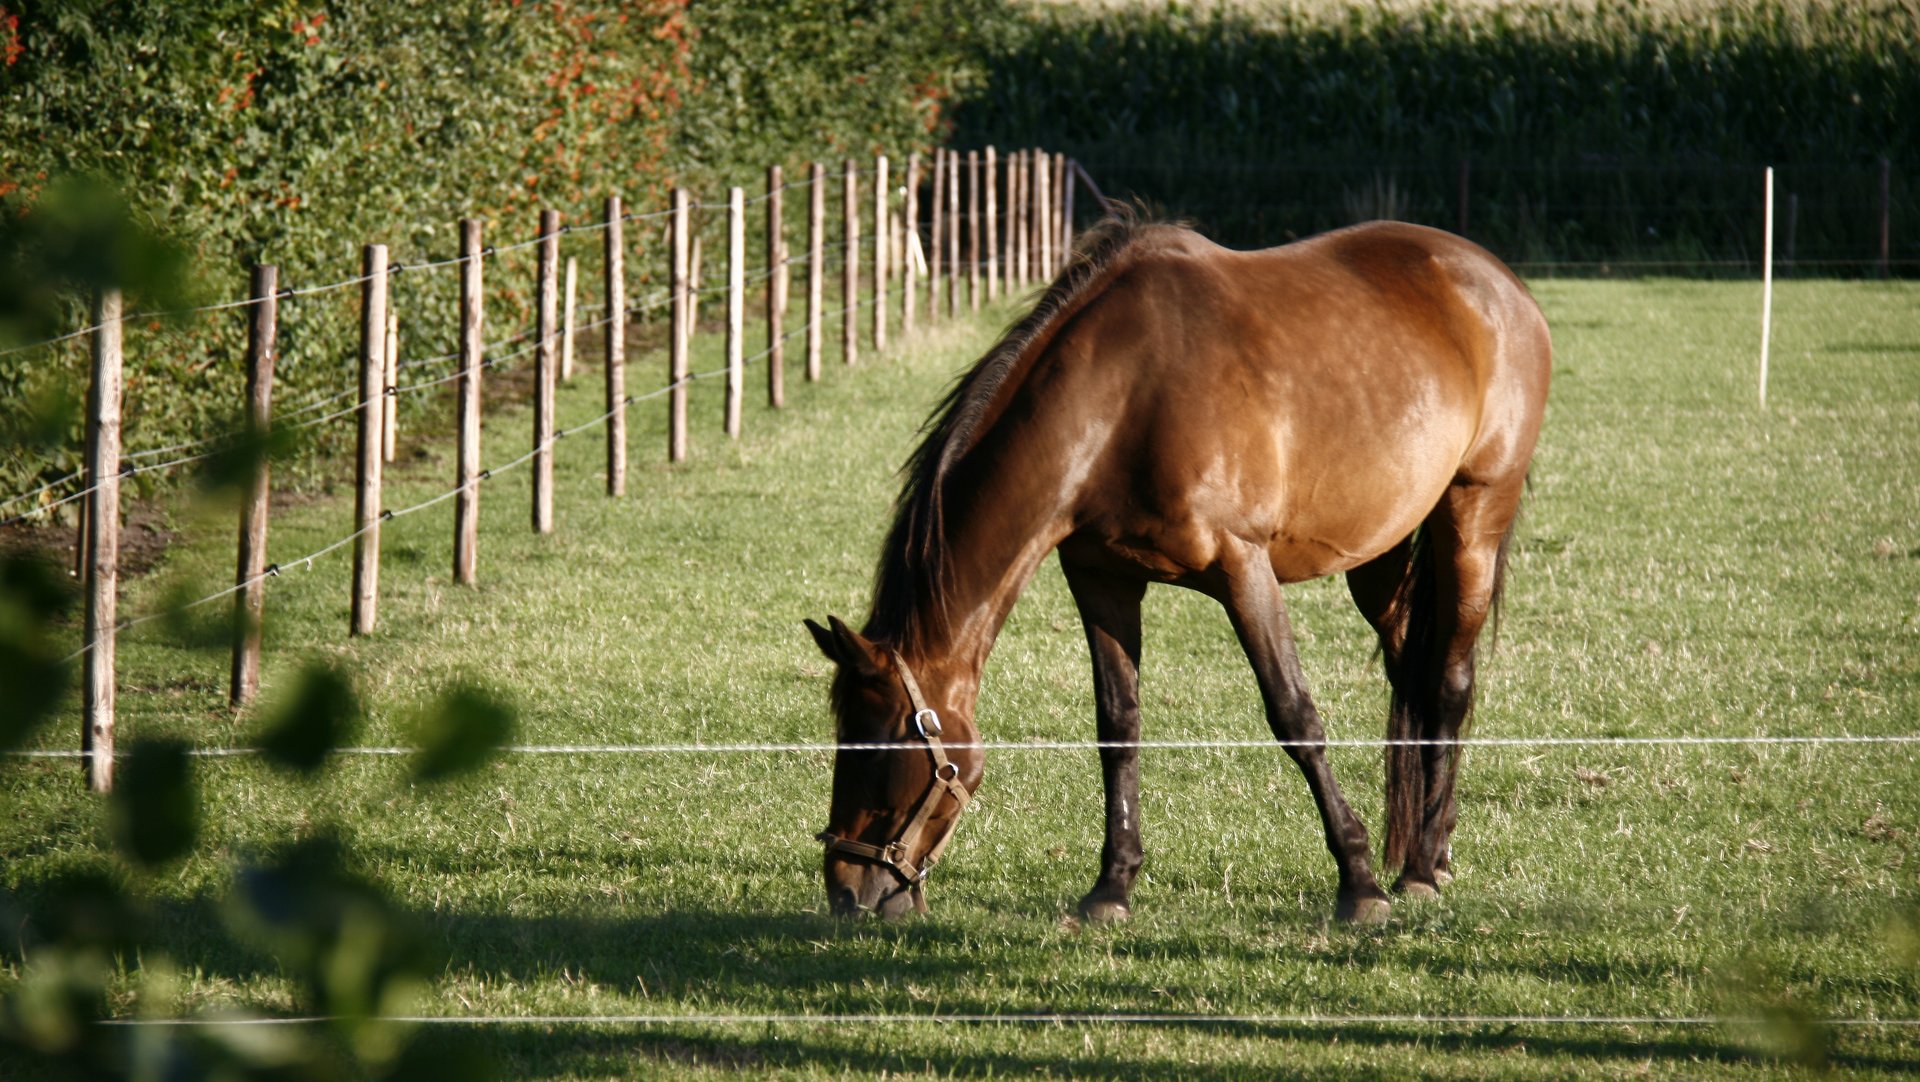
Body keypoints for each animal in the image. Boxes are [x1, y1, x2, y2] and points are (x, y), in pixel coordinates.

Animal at [802, 217, 1551, 920]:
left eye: (879, 746)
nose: (846, 889)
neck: (1124, 395)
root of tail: (1496, 279)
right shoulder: (1102, 579)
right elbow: (1118, 725)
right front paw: (1111, 887)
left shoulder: (1243, 568)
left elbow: (1295, 715)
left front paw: (1359, 883)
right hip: (1379, 553)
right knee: (1414, 676)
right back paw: (1435, 850)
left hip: (1472, 515)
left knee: (1449, 683)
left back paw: (1420, 869)